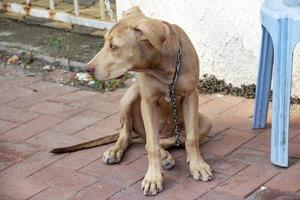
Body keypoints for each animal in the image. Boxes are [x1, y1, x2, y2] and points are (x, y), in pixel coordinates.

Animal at [51, 6, 212, 195]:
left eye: (114, 46)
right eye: (105, 42)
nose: (87, 69)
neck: (163, 67)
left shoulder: (191, 96)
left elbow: (192, 139)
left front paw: (197, 166)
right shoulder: (148, 102)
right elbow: (152, 147)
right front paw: (153, 178)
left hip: (205, 122)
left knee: (164, 140)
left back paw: (167, 153)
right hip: (130, 96)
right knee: (133, 137)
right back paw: (120, 152)